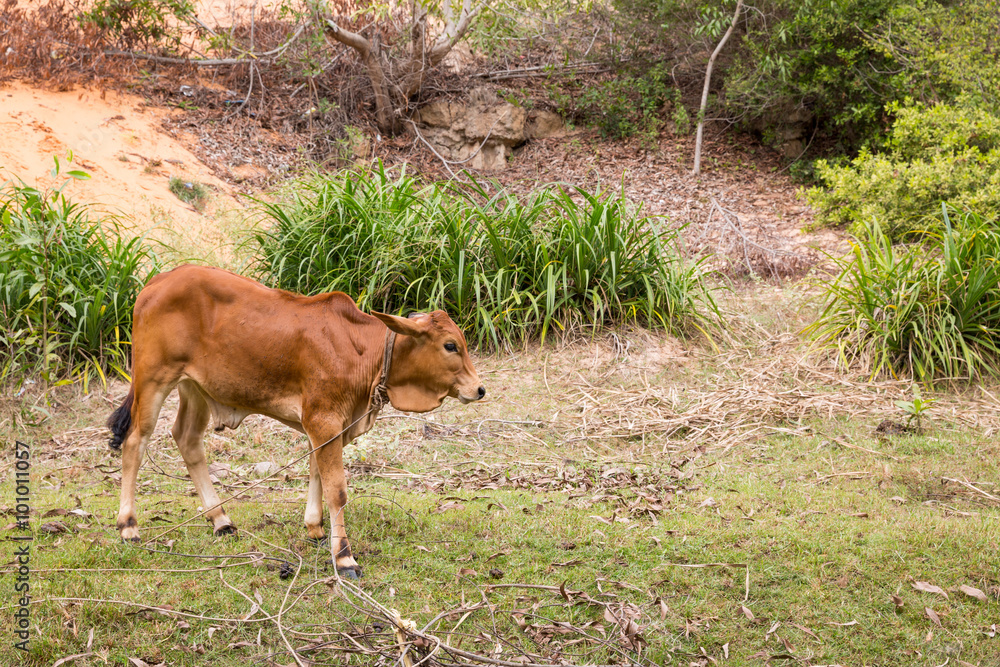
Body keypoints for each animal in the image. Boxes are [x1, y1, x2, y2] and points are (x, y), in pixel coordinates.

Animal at [106, 264, 485, 578]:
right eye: (450, 345)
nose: (479, 389)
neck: (363, 351)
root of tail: (156, 282)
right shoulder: (323, 419)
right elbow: (337, 490)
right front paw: (344, 557)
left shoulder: (328, 426)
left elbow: (317, 472)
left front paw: (315, 528)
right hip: (153, 378)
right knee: (135, 442)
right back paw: (128, 525)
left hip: (194, 388)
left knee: (187, 440)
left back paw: (221, 520)